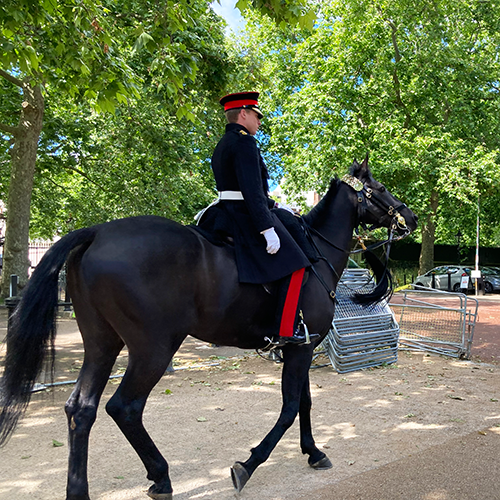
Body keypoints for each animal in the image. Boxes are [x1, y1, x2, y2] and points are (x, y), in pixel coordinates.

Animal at [0, 158, 418, 500]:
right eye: (381, 187)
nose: (409, 218)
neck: (315, 252)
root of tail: (97, 232)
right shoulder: (301, 347)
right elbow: (288, 408)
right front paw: (247, 466)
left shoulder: (300, 345)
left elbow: (304, 402)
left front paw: (313, 452)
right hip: (153, 349)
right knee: (125, 407)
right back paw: (161, 475)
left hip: (103, 344)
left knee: (81, 409)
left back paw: (81, 490)